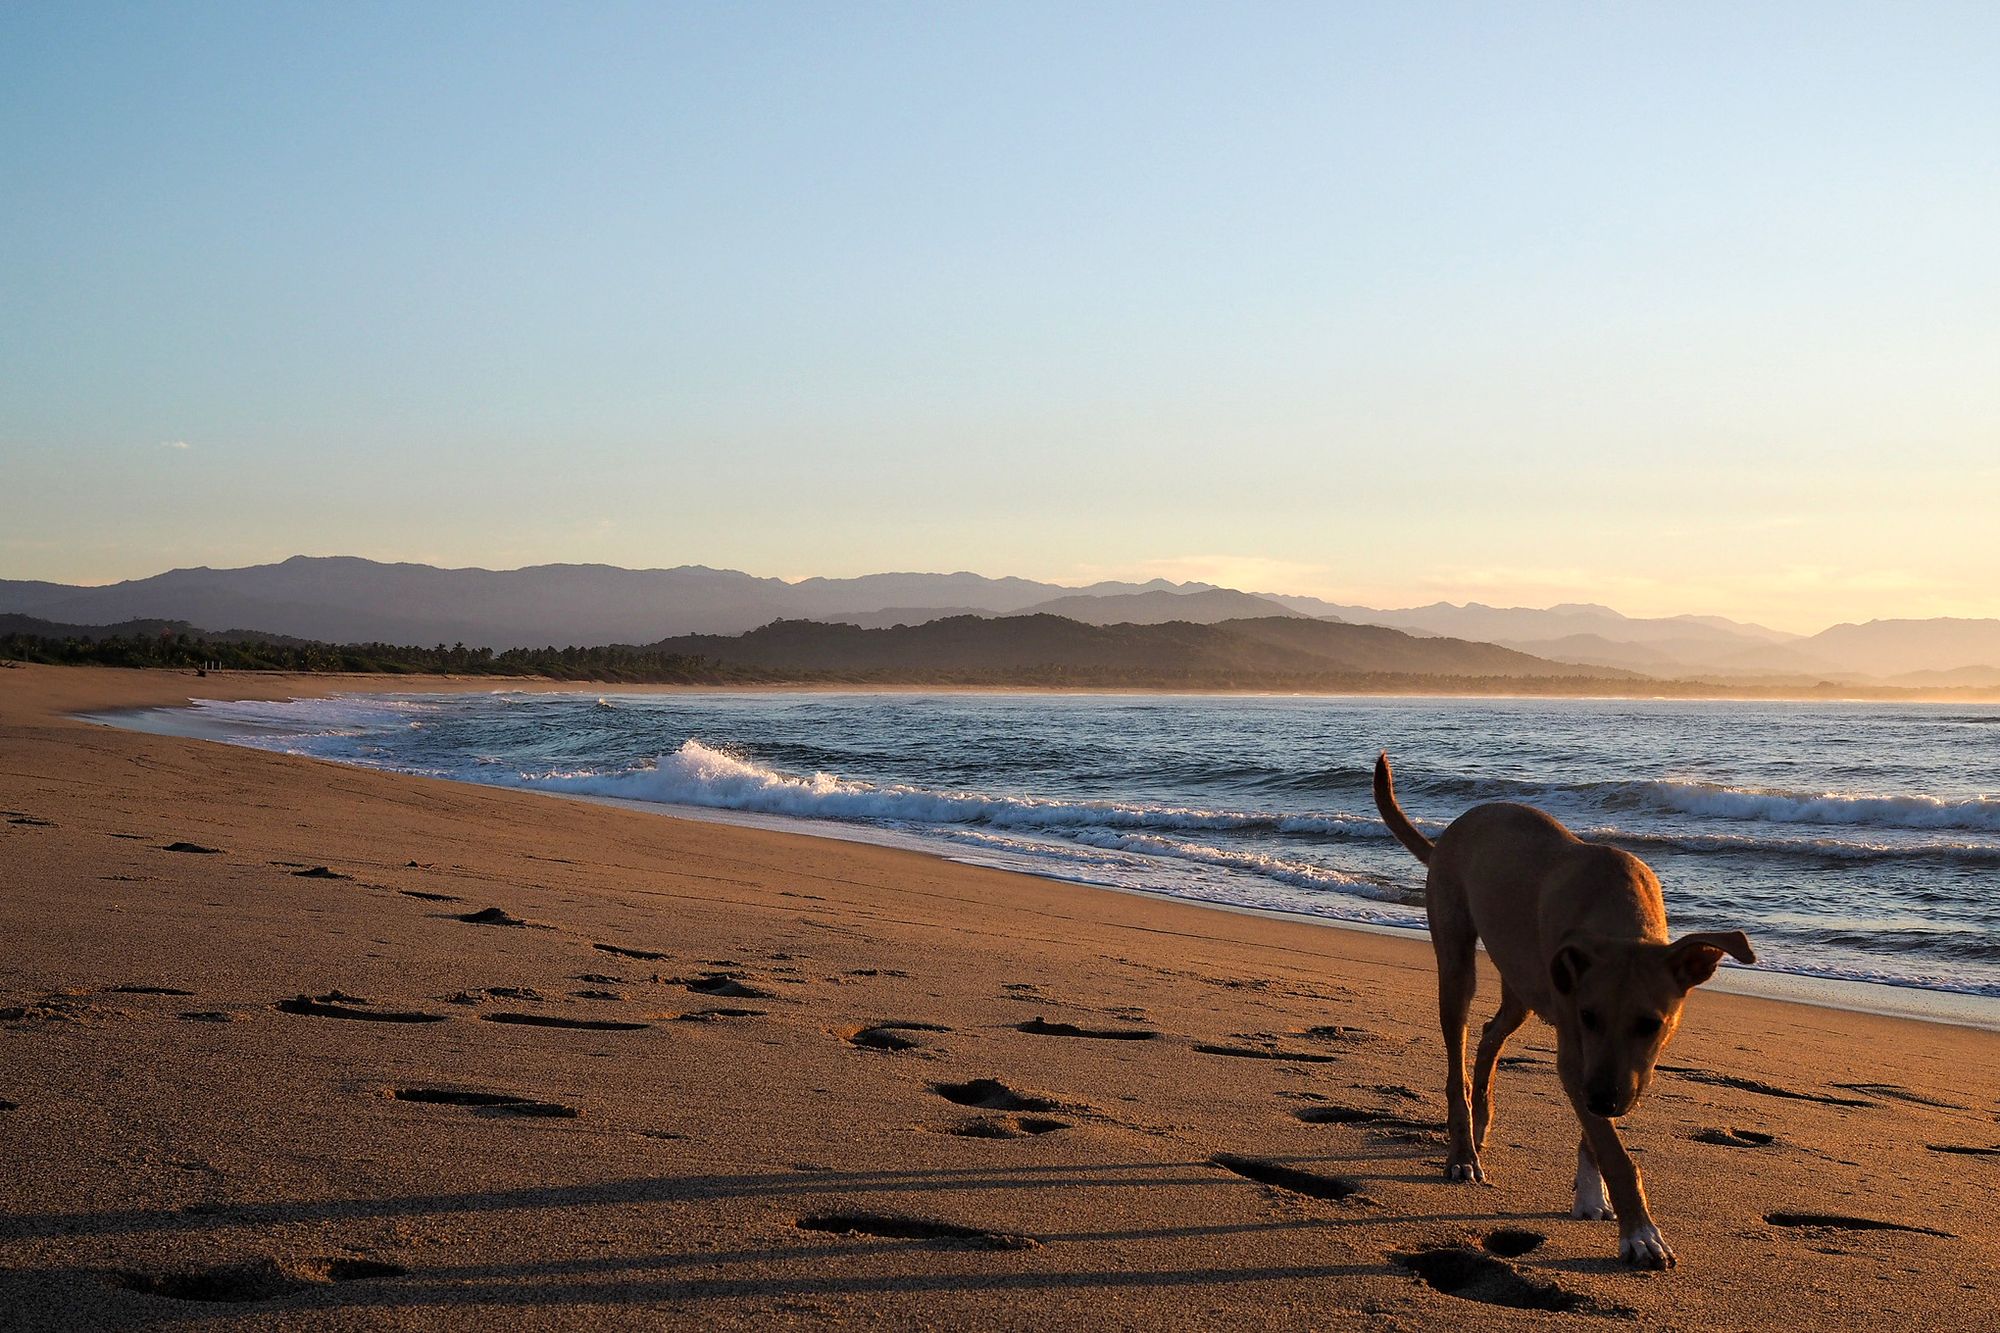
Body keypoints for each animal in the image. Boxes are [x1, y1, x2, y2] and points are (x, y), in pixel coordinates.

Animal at [1376, 752, 1752, 1264]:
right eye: (1589, 1017)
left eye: (1651, 1024)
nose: (1605, 1101)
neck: (1621, 921)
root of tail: (1447, 837)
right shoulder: (1576, 1054)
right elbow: (1613, 1150)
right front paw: (1640, 1233)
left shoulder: (1610, 1065)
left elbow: (1597, 1134)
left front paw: (1592, 1194)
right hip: (1456, 963)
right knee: (1458, 1058)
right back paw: (1462, 1154)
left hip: (1521, 987)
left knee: (1490, 1035)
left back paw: (1482, 1120)